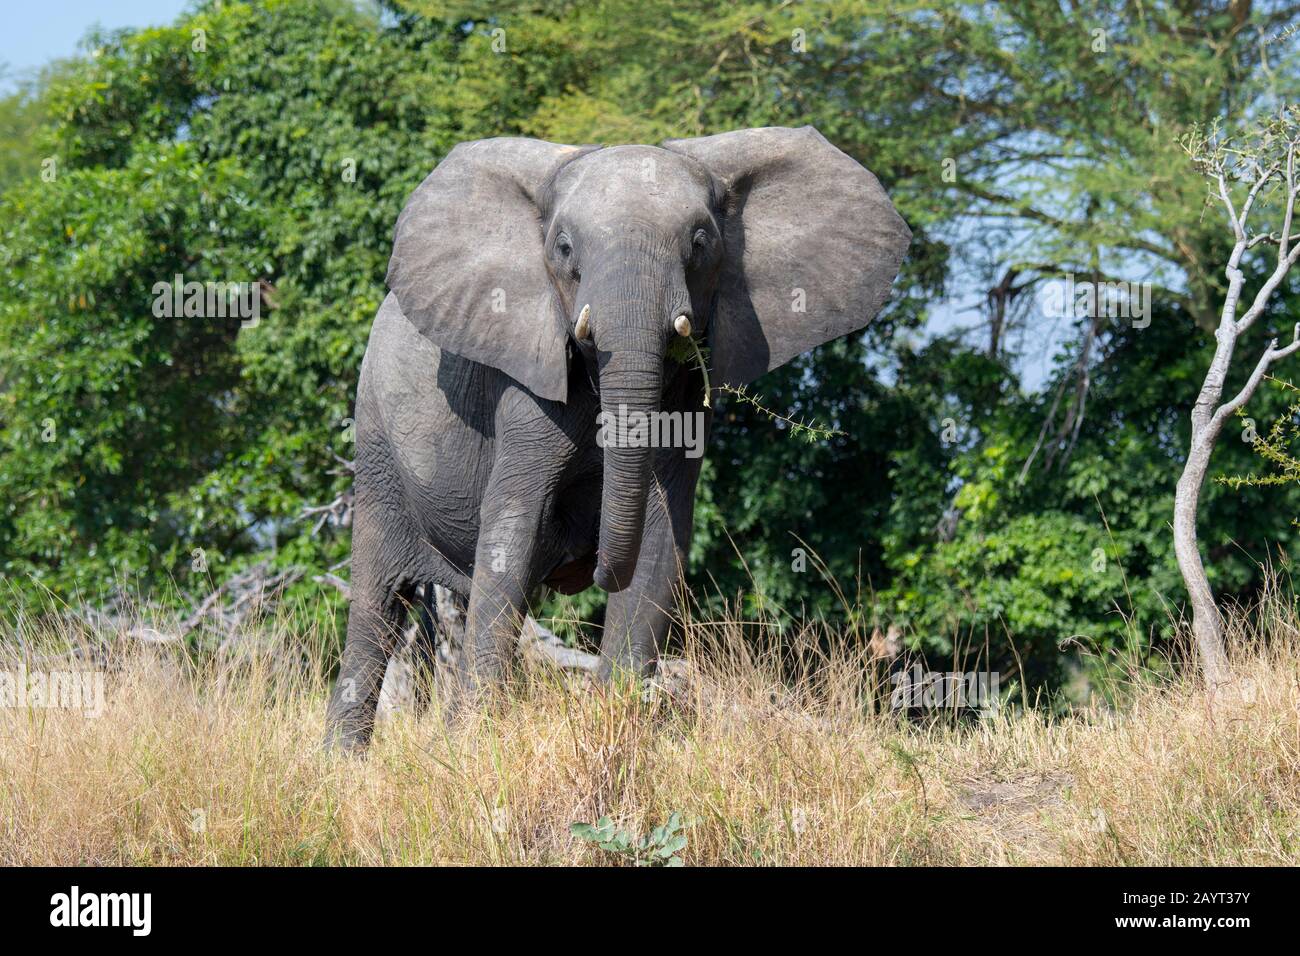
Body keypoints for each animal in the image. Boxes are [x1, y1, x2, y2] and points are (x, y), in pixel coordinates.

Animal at [322, 125, 915, 749]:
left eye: (701, 242)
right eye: (563, 248)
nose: (596, 564)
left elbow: (660, 537)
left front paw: (617, 723)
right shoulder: (526, 385)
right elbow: (513, 532)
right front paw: (472, 745)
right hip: (376, 437)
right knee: (376, 605)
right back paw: (344, 764)